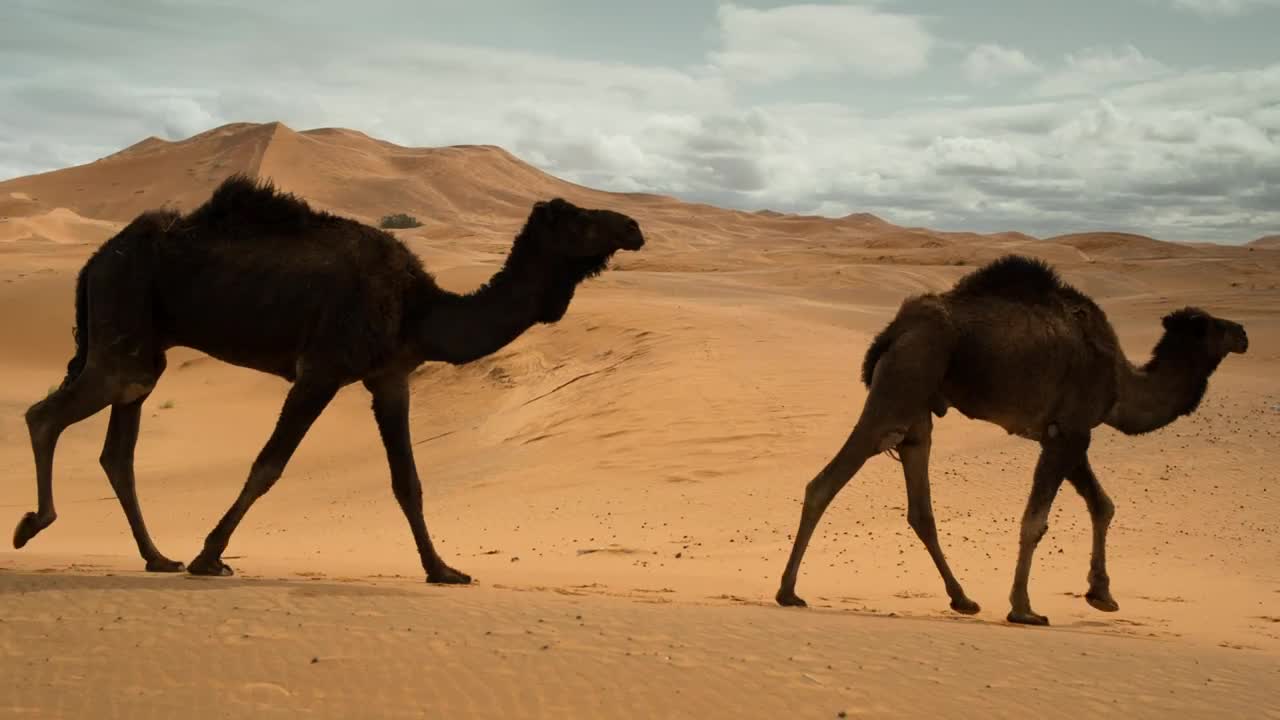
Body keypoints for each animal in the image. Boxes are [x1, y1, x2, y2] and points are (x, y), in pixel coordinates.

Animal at [13, 174, 645, 584]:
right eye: (581, 219)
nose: (634, 226)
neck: (418, 308)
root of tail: (96, 258)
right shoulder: (322, 369)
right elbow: (268, 466)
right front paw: (209, 557)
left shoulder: (391, 377)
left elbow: (408, 482)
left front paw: (442, 569)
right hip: (122, 325)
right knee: (45, 415)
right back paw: (33, 525)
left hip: (145, 348)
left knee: (118, 448)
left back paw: (156, 557)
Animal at [775, 254, 1248, 625]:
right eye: (1216, 326)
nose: (1244, 333)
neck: (1121, 383)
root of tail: (894, 330)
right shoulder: (1070, 431)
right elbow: (1037, 521)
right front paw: (1024, 609)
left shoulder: (1067, 434)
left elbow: (1102, 505)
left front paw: (1102, 595)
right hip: (906, 378)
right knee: (825, 482)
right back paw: (788, 592)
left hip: (919, 408)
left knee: (919, 504)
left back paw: (963, 599)